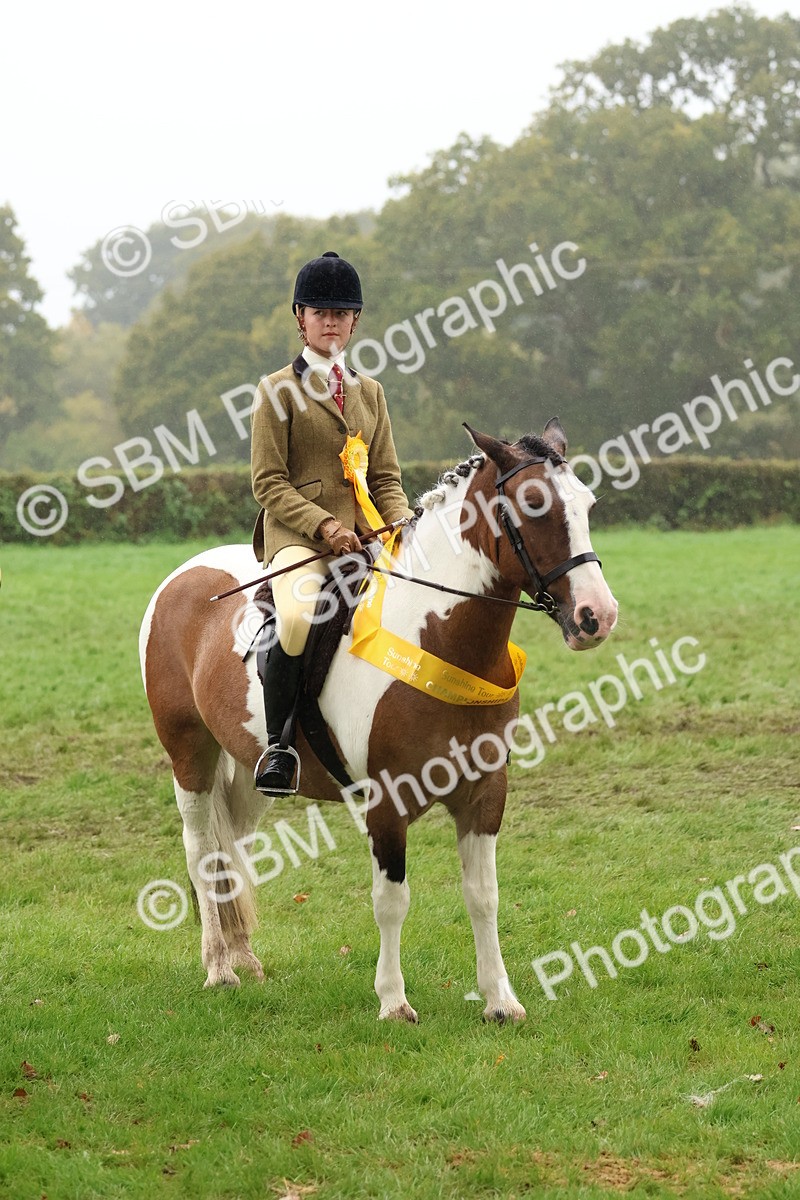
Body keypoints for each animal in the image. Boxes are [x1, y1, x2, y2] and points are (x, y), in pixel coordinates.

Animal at [139, 420, 618, 1022]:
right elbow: (392, 900)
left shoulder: (485, 793)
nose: (597, 617)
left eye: (588, 504)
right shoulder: (387, 802)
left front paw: (500, 1001)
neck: (435, 636)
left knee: (235, 848)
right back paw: (219, 968)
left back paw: (245, 960)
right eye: (534, 505)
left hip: (248, 768)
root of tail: (182, 576)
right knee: (202, 851)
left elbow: (483, 896)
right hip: (190, 755)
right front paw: (393, 1002)